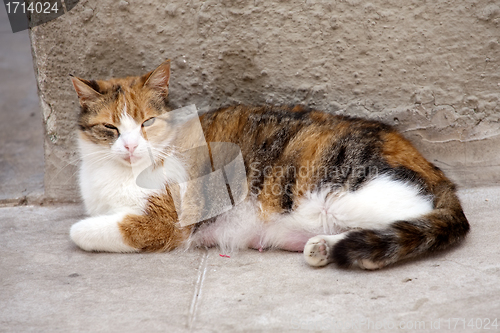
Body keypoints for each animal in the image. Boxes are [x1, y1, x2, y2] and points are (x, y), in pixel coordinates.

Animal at [68, 58, 470, 268]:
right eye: (110, 128)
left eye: (147, 123)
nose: (131, 146)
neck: (121, 173)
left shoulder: (169, 220)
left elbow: (91, 230)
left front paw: (84, 229)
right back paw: (322, 247)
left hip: (346, 195)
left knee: (408, 219)